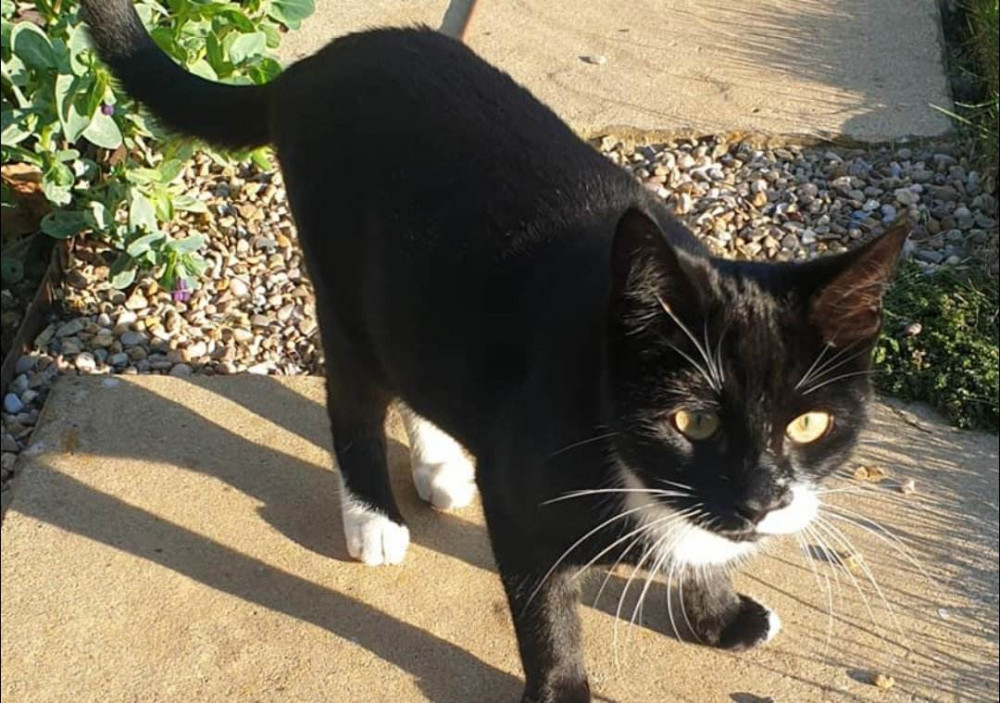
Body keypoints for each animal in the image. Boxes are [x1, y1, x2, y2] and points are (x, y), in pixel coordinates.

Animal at [82, 2, 912, 700]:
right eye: (693, 421)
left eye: (809, 423)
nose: (762, 498)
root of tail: (306, 70)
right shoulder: (518, 497)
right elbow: (547, 613)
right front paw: (565, 688)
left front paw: (719, 612)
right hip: (346, 281)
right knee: (354, 392)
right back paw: (373, 514)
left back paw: (438, 460)